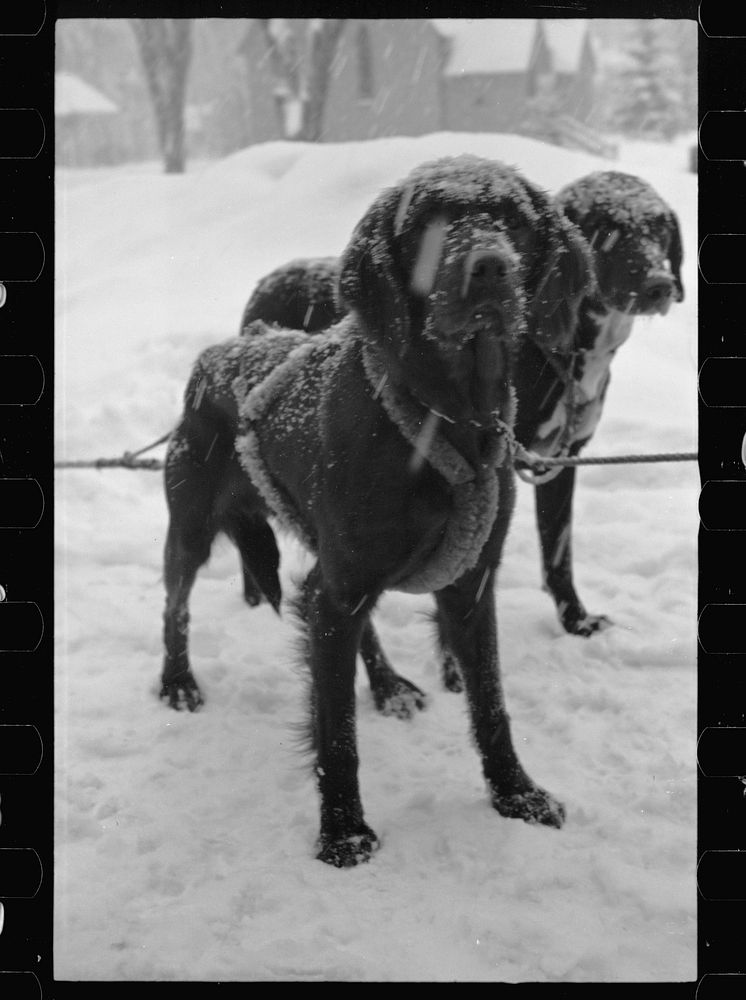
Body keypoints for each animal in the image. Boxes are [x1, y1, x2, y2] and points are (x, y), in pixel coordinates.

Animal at [160, 156, 588, 868]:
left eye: (515, 219)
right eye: (427, 222)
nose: (489, 268)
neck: (444, 417)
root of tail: (220, 350)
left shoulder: (468, 587)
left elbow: (491, 706)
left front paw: (517, 795)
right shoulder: (340, 588)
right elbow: (335, 730)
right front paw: (343, 832)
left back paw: (388, 686)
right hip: (193, 527)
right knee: (176, 605)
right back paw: (177, 683)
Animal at [241, 172, 684, 648]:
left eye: (659, 227)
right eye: (605, 228)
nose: (660, 284)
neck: (562, 349)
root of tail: (270, 280)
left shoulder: (559, 459)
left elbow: (558, 553)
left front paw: (575, 620)